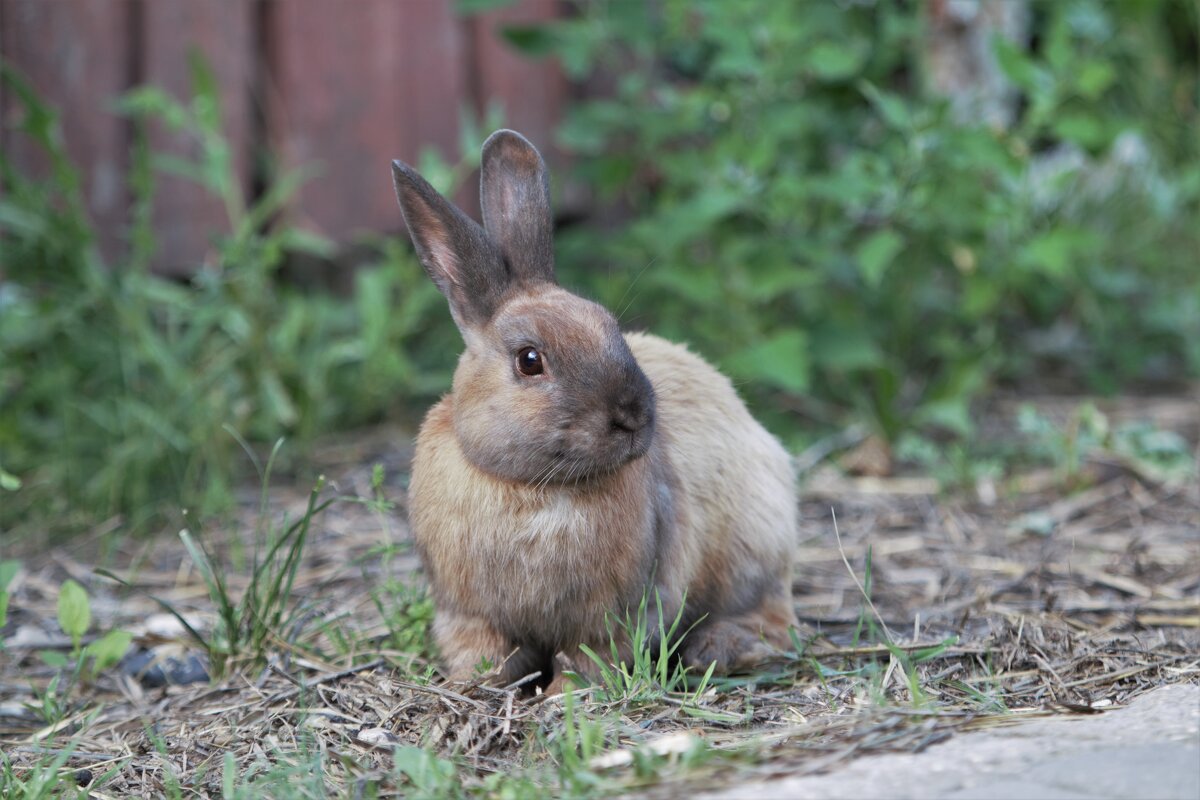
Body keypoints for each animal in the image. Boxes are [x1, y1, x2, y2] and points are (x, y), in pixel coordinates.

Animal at [391, 128, 796, 690]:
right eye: (530, 360)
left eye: (610, 326)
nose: (634, 417)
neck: (534, 489)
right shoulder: (466, 612)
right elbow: (484, 651)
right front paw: (477, 684)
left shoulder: (617, 614)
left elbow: (588, 658)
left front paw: (563, 695)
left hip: (753, 552)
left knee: (773, 616)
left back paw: (721, 649)